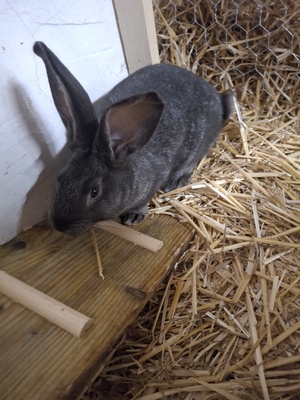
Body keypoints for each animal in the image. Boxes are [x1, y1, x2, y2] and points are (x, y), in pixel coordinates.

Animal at [34, 40, 233, 234]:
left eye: (94, 192)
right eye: (60, 178)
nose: (60, 225)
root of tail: (218, 99)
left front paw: (133, 216)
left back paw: (177, 181)